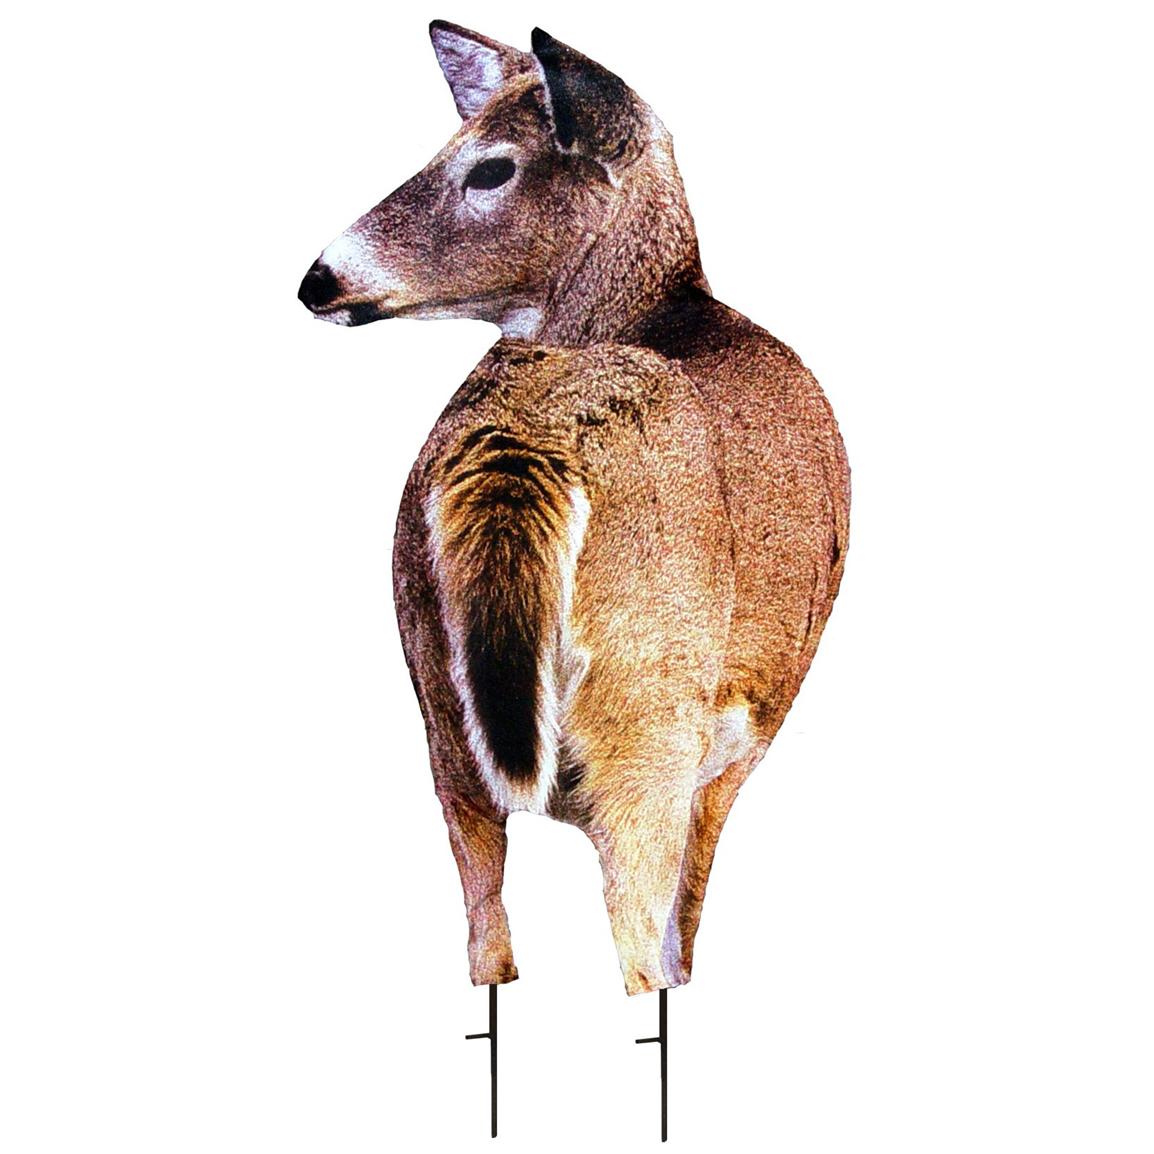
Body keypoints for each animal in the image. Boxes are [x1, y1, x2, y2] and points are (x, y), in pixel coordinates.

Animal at [299, 21, 849, 1009]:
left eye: (490, 166)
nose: (317, 280)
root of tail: (526, 446)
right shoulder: (741, 737)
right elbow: (687, 923)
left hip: (435, 694)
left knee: (487, 928)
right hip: (650, 700)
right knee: (636, 945)